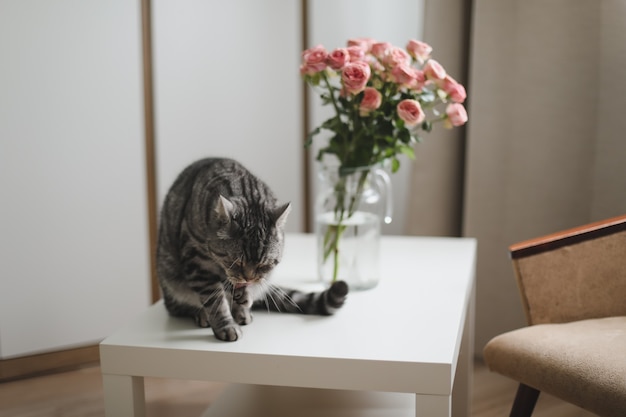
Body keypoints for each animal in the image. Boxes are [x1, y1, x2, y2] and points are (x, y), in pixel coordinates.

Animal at [156, 158, 348, 340]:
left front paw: (243, 298)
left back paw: (243, 312)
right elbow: (215, 300)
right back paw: (202, 314)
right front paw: (226, 326)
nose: (247, 278)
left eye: (264, 265)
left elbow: (242, 288)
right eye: (236, 262)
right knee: (180, 306)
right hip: (171, 277)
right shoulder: (197, 261)